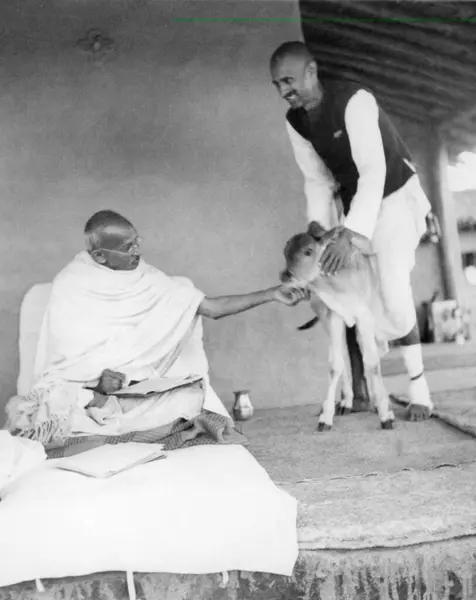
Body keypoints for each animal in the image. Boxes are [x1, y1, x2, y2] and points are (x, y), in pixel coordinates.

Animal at [282, 221, 394, 432]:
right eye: (285, 252)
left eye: (308, 251)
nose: (285, 275)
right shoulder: (334, 316)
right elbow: (335, 365)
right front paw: (326, 417)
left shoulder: (365, 317)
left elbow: (372, 363)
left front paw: (385, 413)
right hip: (326, 318)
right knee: (343, 355)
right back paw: (346, 401)